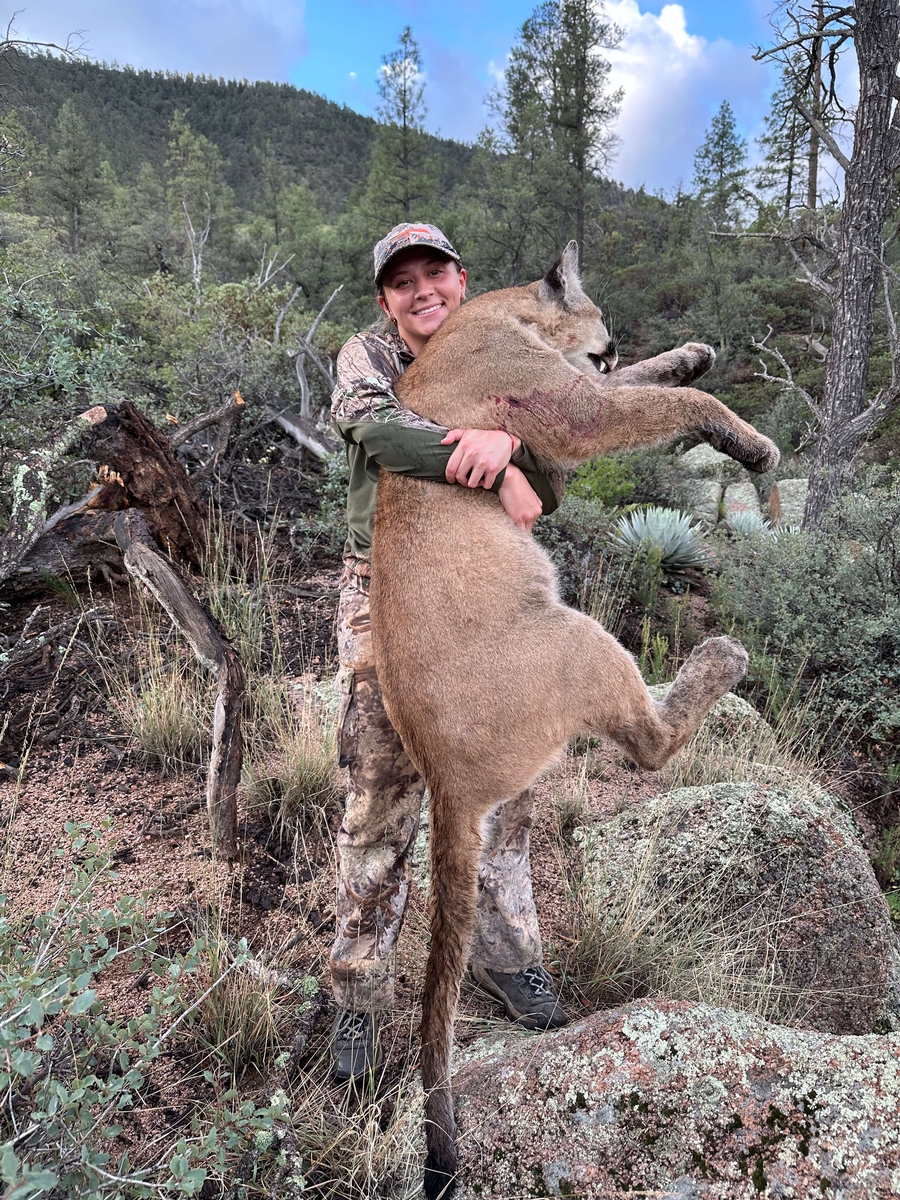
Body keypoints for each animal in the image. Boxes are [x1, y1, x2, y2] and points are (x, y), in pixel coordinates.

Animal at [368, 243, 779, 1197]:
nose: (610, 339)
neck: (496, 310)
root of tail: (441, 777)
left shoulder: (577, 394)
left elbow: (648, 384)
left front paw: (689, 354)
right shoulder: (571, 407)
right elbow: (659, 405)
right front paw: (747, 439)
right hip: (580, 636)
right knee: (651, 742)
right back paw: (719, 660)